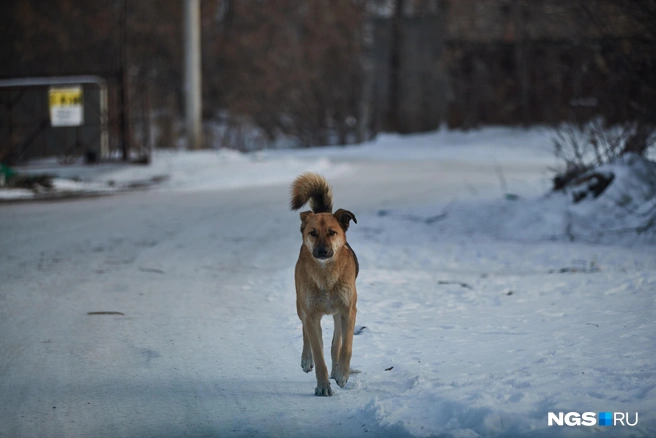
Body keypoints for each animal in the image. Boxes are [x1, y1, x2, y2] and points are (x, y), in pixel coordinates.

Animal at [290, 173, 358, 396]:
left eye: (331, 232)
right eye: (312, 233)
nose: (321, 251)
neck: (326, 276)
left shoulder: (348, 310)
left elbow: (346, 346)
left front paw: (342, 374)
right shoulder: (312, 315)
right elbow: (318, 354)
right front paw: (322, 386)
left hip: (337, 313)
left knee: (336, 340)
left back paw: (336, 368)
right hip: (301, 306)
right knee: (305, 331)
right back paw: (306, 359)